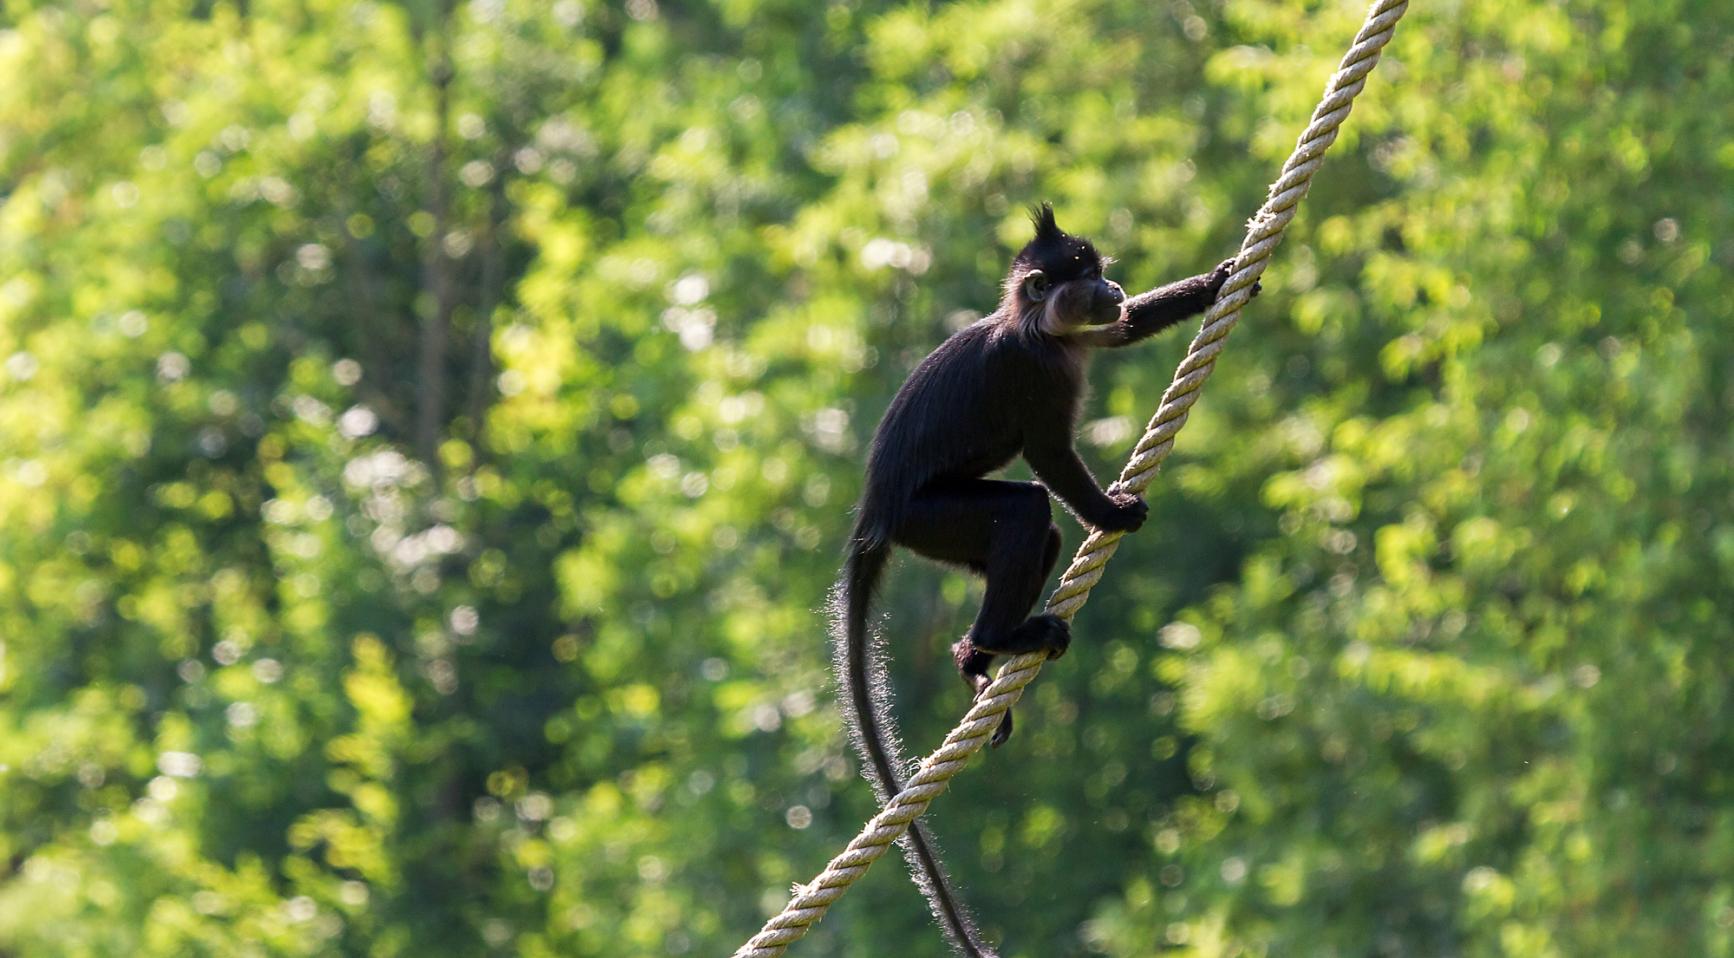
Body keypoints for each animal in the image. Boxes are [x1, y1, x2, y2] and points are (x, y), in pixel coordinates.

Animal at [834, 204, 1256, 958]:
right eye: (1084, 275)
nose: (1111, 285)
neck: (1036, 328)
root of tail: (875, 514)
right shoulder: (1030, 370)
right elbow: (1050, 455)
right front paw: (1112, 512)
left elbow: (1122, 331)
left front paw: (1216, 281)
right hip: (927, 517)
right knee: (1029, 507)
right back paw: (997, 635)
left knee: (1039, 533)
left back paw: (974, 655)